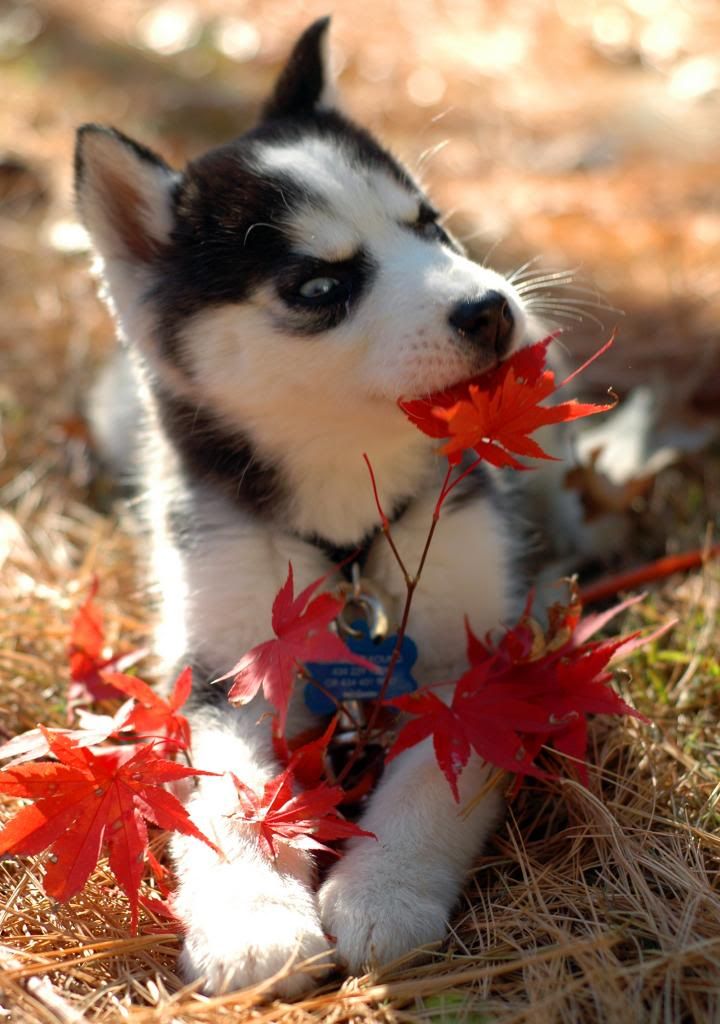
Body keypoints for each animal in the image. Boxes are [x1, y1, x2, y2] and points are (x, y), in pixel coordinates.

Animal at [74, 14, 544, 991]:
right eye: (321, 287)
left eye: (430, 225)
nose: (490, 309)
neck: (345, 508)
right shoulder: (222, 670)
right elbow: (230, 797)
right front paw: (253, 917)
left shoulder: (476, 659)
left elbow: (437, 767)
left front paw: (385, 889)